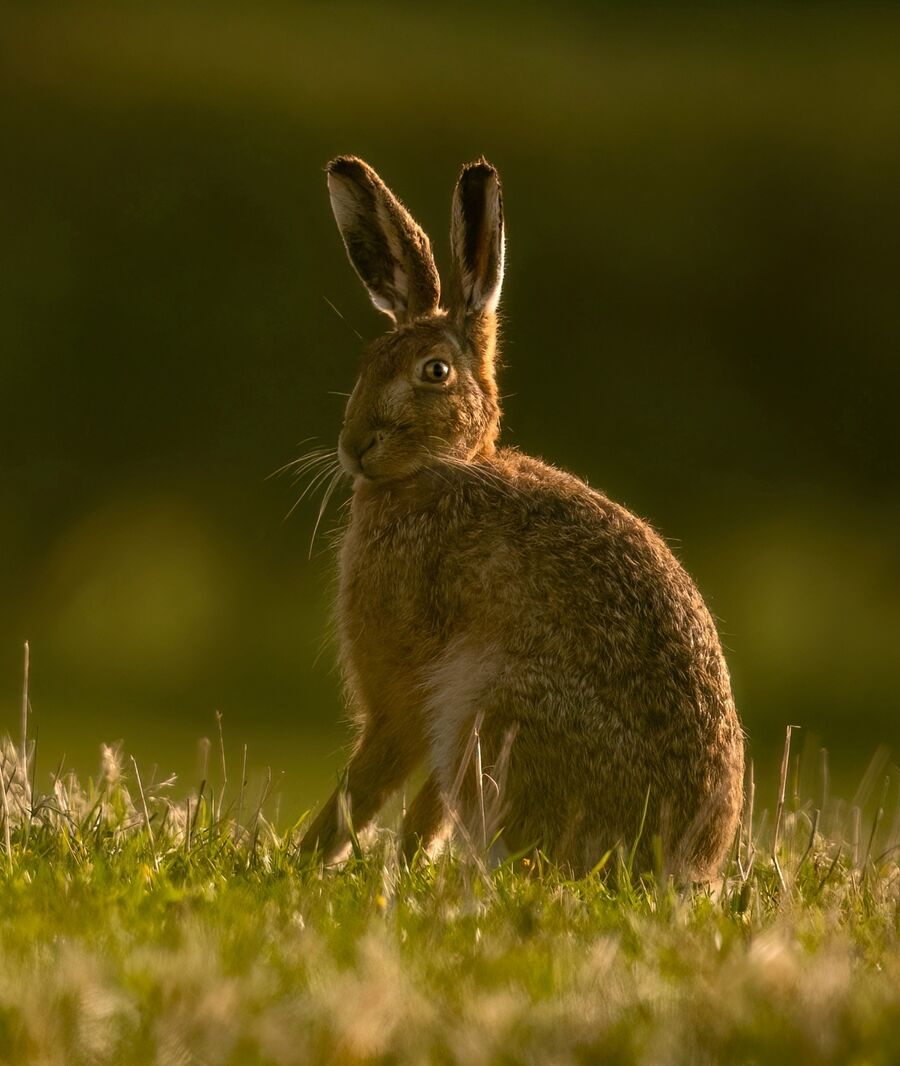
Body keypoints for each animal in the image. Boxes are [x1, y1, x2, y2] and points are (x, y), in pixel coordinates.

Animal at [299, 155, 745, 880]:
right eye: (367, 363)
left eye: (434, 371)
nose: (354, 446)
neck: (444, 468)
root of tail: (677, 867)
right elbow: (425, 810)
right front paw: (400, 870)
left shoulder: (403, 695)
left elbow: (362, 788)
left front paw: (306, 860)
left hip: (497, 712)